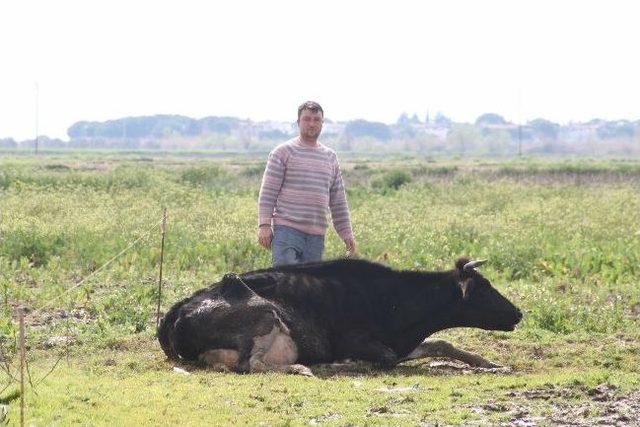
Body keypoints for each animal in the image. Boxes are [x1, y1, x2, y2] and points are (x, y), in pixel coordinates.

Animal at [158, 258, 524, 374]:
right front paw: (348, 362)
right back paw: (307, 368)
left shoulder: (404, 341)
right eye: (484, 288)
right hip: (265, 315)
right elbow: (387, 358)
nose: (518, 313)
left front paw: (491, 363)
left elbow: (446, 345)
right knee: (251, 364)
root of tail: (181, 306)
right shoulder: (359, 340)